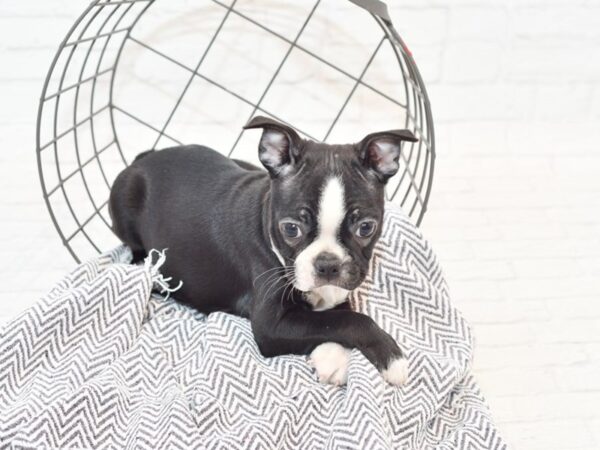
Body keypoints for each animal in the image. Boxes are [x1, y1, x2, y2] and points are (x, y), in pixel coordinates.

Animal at [108, 117, 418, 386]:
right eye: (291, 229)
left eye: (366, 228)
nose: (327, 264)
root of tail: (145, 158)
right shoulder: (271, 325)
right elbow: (347, 319)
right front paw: (392, 358)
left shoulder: (338, 288)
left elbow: (338, 313)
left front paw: (332, 357)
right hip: (125, 203)